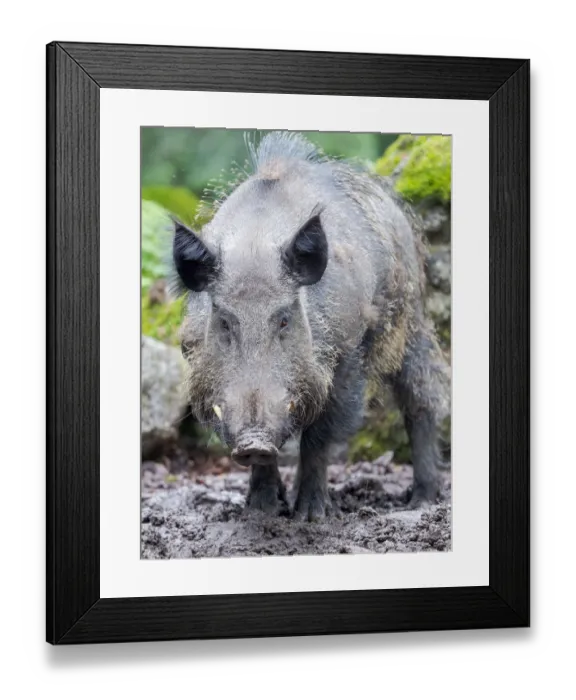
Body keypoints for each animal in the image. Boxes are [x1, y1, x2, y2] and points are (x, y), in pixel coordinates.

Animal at [173, 131, 450, 520]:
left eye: (284, 319)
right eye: (224, 321)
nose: (254, 441)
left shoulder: (348, 353)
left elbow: (320, 436)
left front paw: (312, 517)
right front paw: (261, 513)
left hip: (410, 323)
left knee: (422, 399)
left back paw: (420, 501)